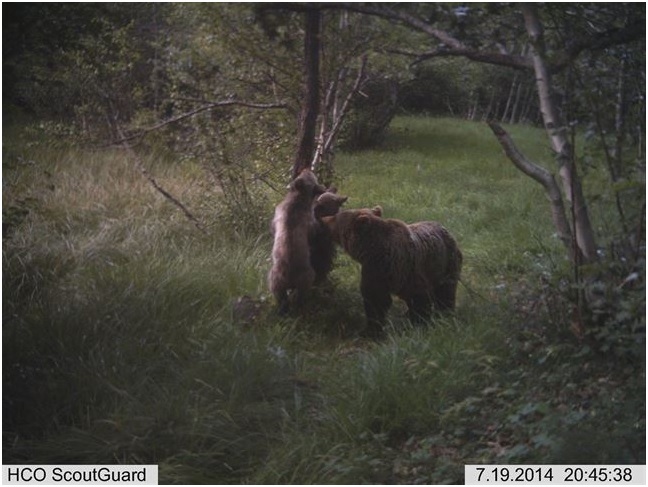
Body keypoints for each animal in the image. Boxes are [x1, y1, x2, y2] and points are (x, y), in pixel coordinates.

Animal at [268, 169, 327, 313]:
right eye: (313, 177)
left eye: (309, 175)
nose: (307, 169)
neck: (298, 197)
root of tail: (289, 277)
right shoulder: (311, 223)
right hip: (306, 278)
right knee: (299, 298)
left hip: (275, 282)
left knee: (283, 300)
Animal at [321, 206, 462, 337]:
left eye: (336, 217)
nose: (324, 218)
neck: (373, 251)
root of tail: (445, 229)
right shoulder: (376, 272)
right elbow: (377, 299)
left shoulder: (404, 269)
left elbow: (416, 298)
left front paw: (419, 323)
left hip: (446, 264)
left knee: (445, 292)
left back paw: (444, 313)